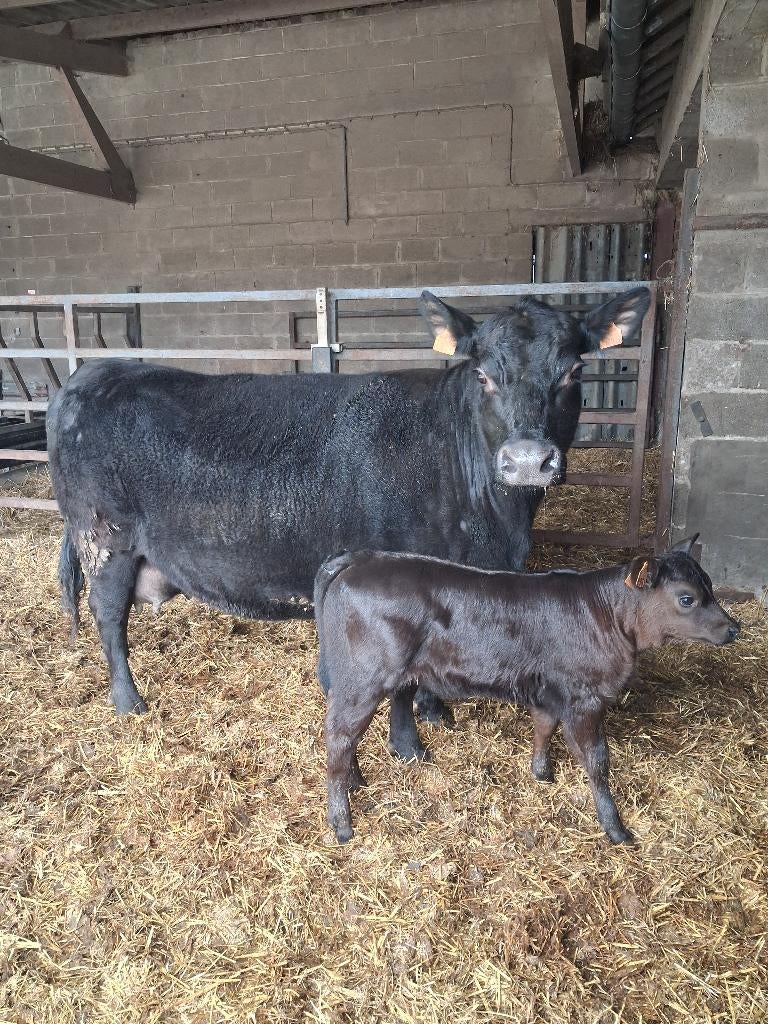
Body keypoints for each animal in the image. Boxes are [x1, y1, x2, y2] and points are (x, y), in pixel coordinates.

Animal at [46, 287, 650, 717]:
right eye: (482, 374)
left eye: (574, 370)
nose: (527, 460)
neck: (497, 529)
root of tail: (93, 372)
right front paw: (429, 715)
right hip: (104, 539)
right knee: (108, 616)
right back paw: (129, 703)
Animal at [315, 539, 741, 845]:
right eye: (686, 597)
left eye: (710, 585)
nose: (734, 628)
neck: (607, 615)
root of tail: (360, 558)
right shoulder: (585, 699)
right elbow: (597, 761)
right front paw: (616, 829)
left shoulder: (549, 691)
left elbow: (544, 727)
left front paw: (542, 774)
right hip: (365, 677)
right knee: (338, 735)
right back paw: (342, 824)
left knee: (349, 733)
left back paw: (360, 780)